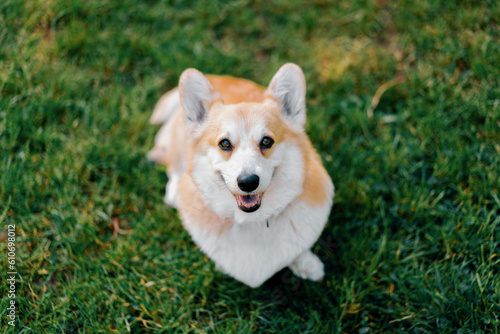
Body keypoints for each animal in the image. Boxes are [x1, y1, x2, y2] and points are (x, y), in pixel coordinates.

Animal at [148, 64, 336, 288]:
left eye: (266, 141)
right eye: (225, 143)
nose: (248, 182)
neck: (252, 221)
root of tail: (216, 76)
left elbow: (299, 250)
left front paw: (307, 264)